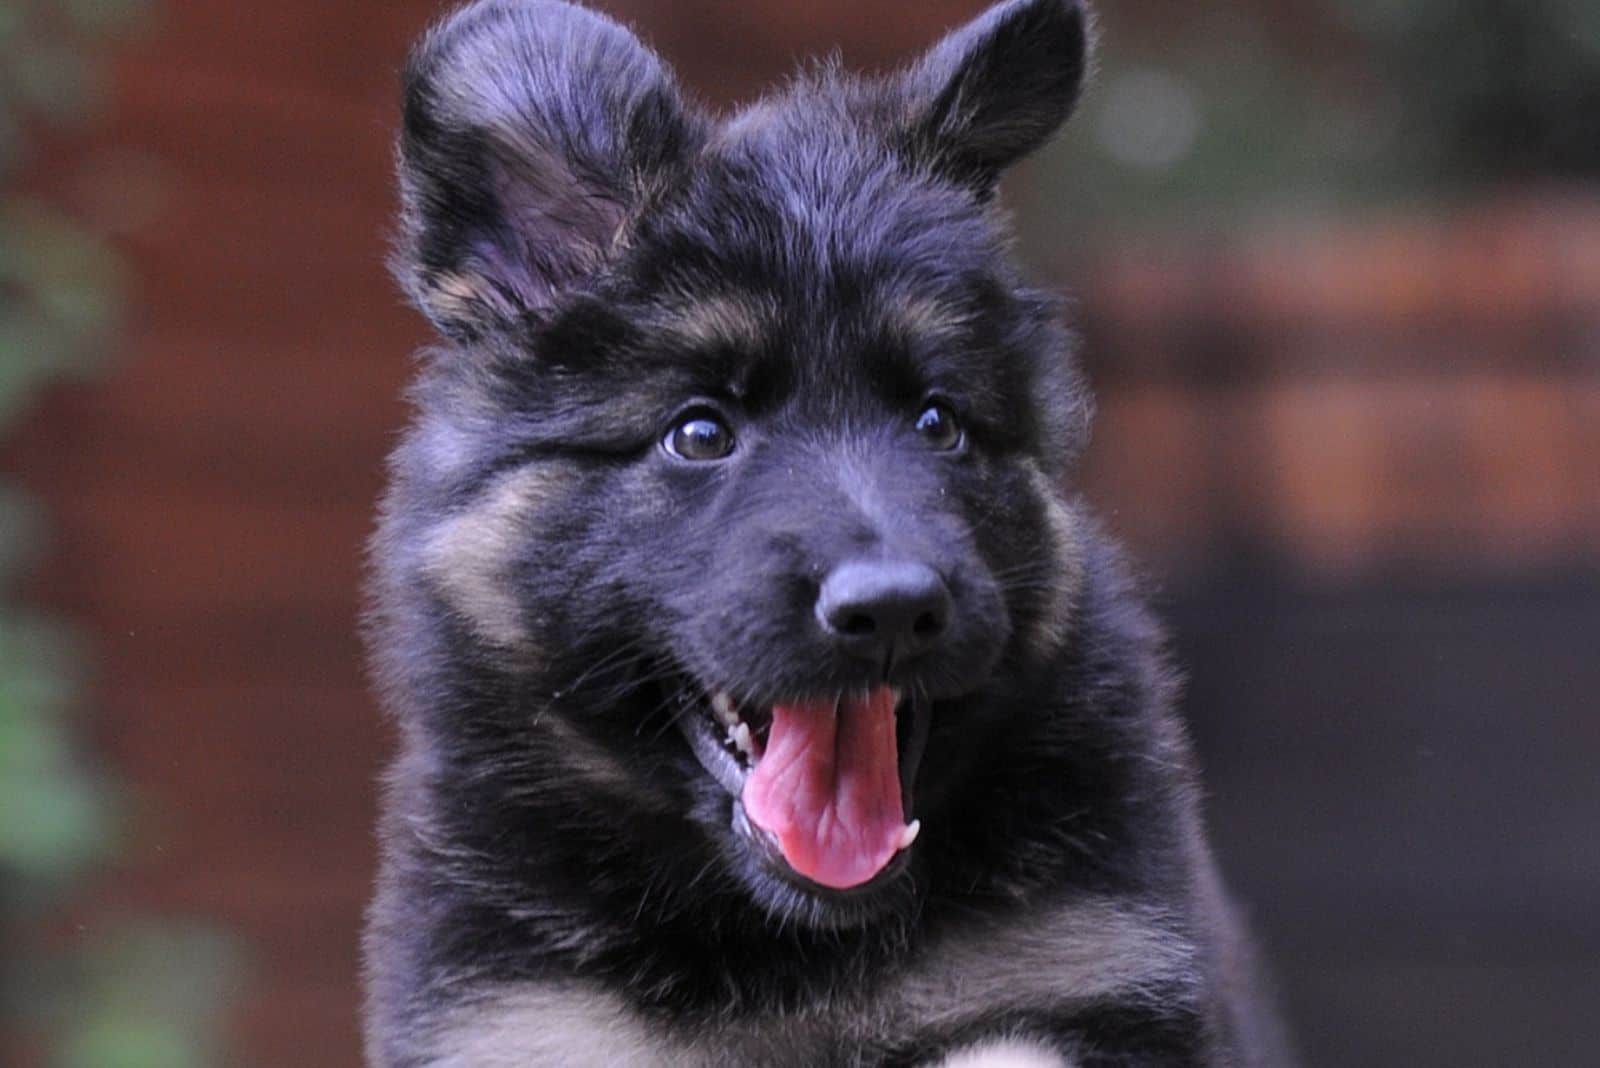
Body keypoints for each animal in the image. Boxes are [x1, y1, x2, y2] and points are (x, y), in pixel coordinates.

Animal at [363, 2, 1286, 1068]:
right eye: (700, 432)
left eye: (938, 422)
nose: (891, 611)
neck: (794, 950)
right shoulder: (522, 1021)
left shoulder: (1094, 972)